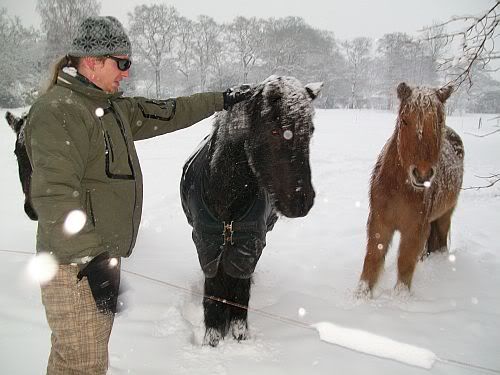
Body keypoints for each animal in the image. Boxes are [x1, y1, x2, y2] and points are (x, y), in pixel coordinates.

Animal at [182, 75, 322, 346]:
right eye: (275, 130)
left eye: (310, 130)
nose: (302, 202)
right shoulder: (207, 243)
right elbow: (214, 292)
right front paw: (213, 339)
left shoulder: (248, 244)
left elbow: (239, 293)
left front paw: (238, 336)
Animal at [358, 83, 462, 300]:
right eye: (405, 120)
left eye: (439, 120)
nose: (422, 175)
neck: (400, 188)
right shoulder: (379, 223)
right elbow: (372, 258)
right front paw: (360, 297)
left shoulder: (414, 229)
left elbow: (405, 263)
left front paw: (400, 300)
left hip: (445, 214)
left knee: (439, 242)